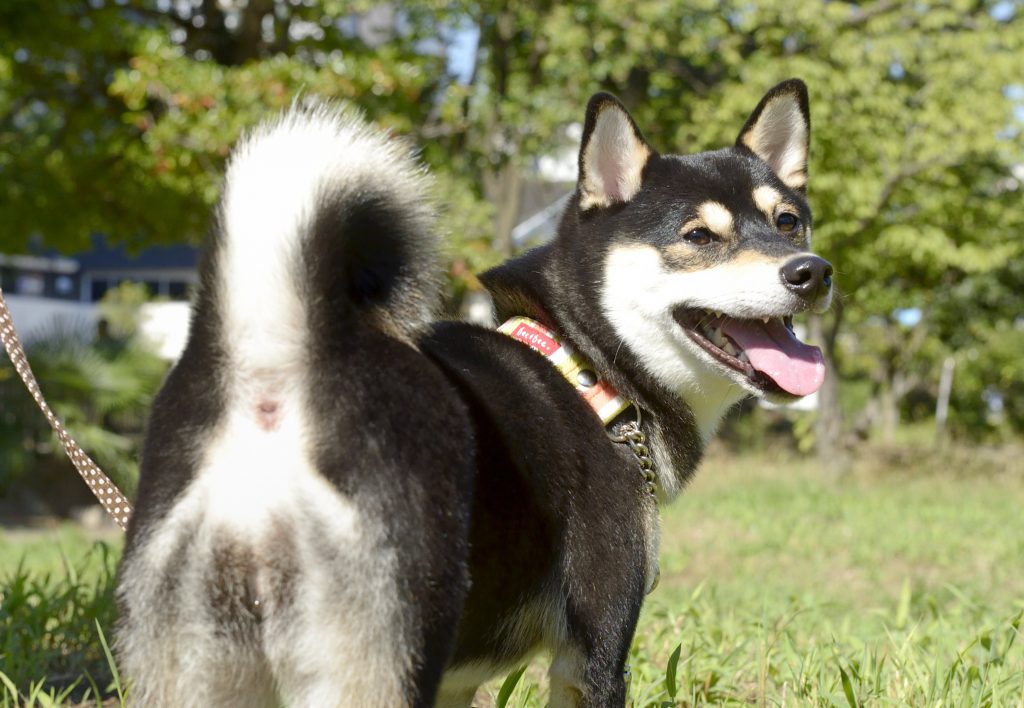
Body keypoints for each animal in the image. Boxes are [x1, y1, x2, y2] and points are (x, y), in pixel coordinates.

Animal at [116, 80, 831, 704]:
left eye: (787, 222)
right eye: (700, 236)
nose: (812, 272)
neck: (587, 369)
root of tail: (280, 363)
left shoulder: (460, 683)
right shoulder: (594, 655)